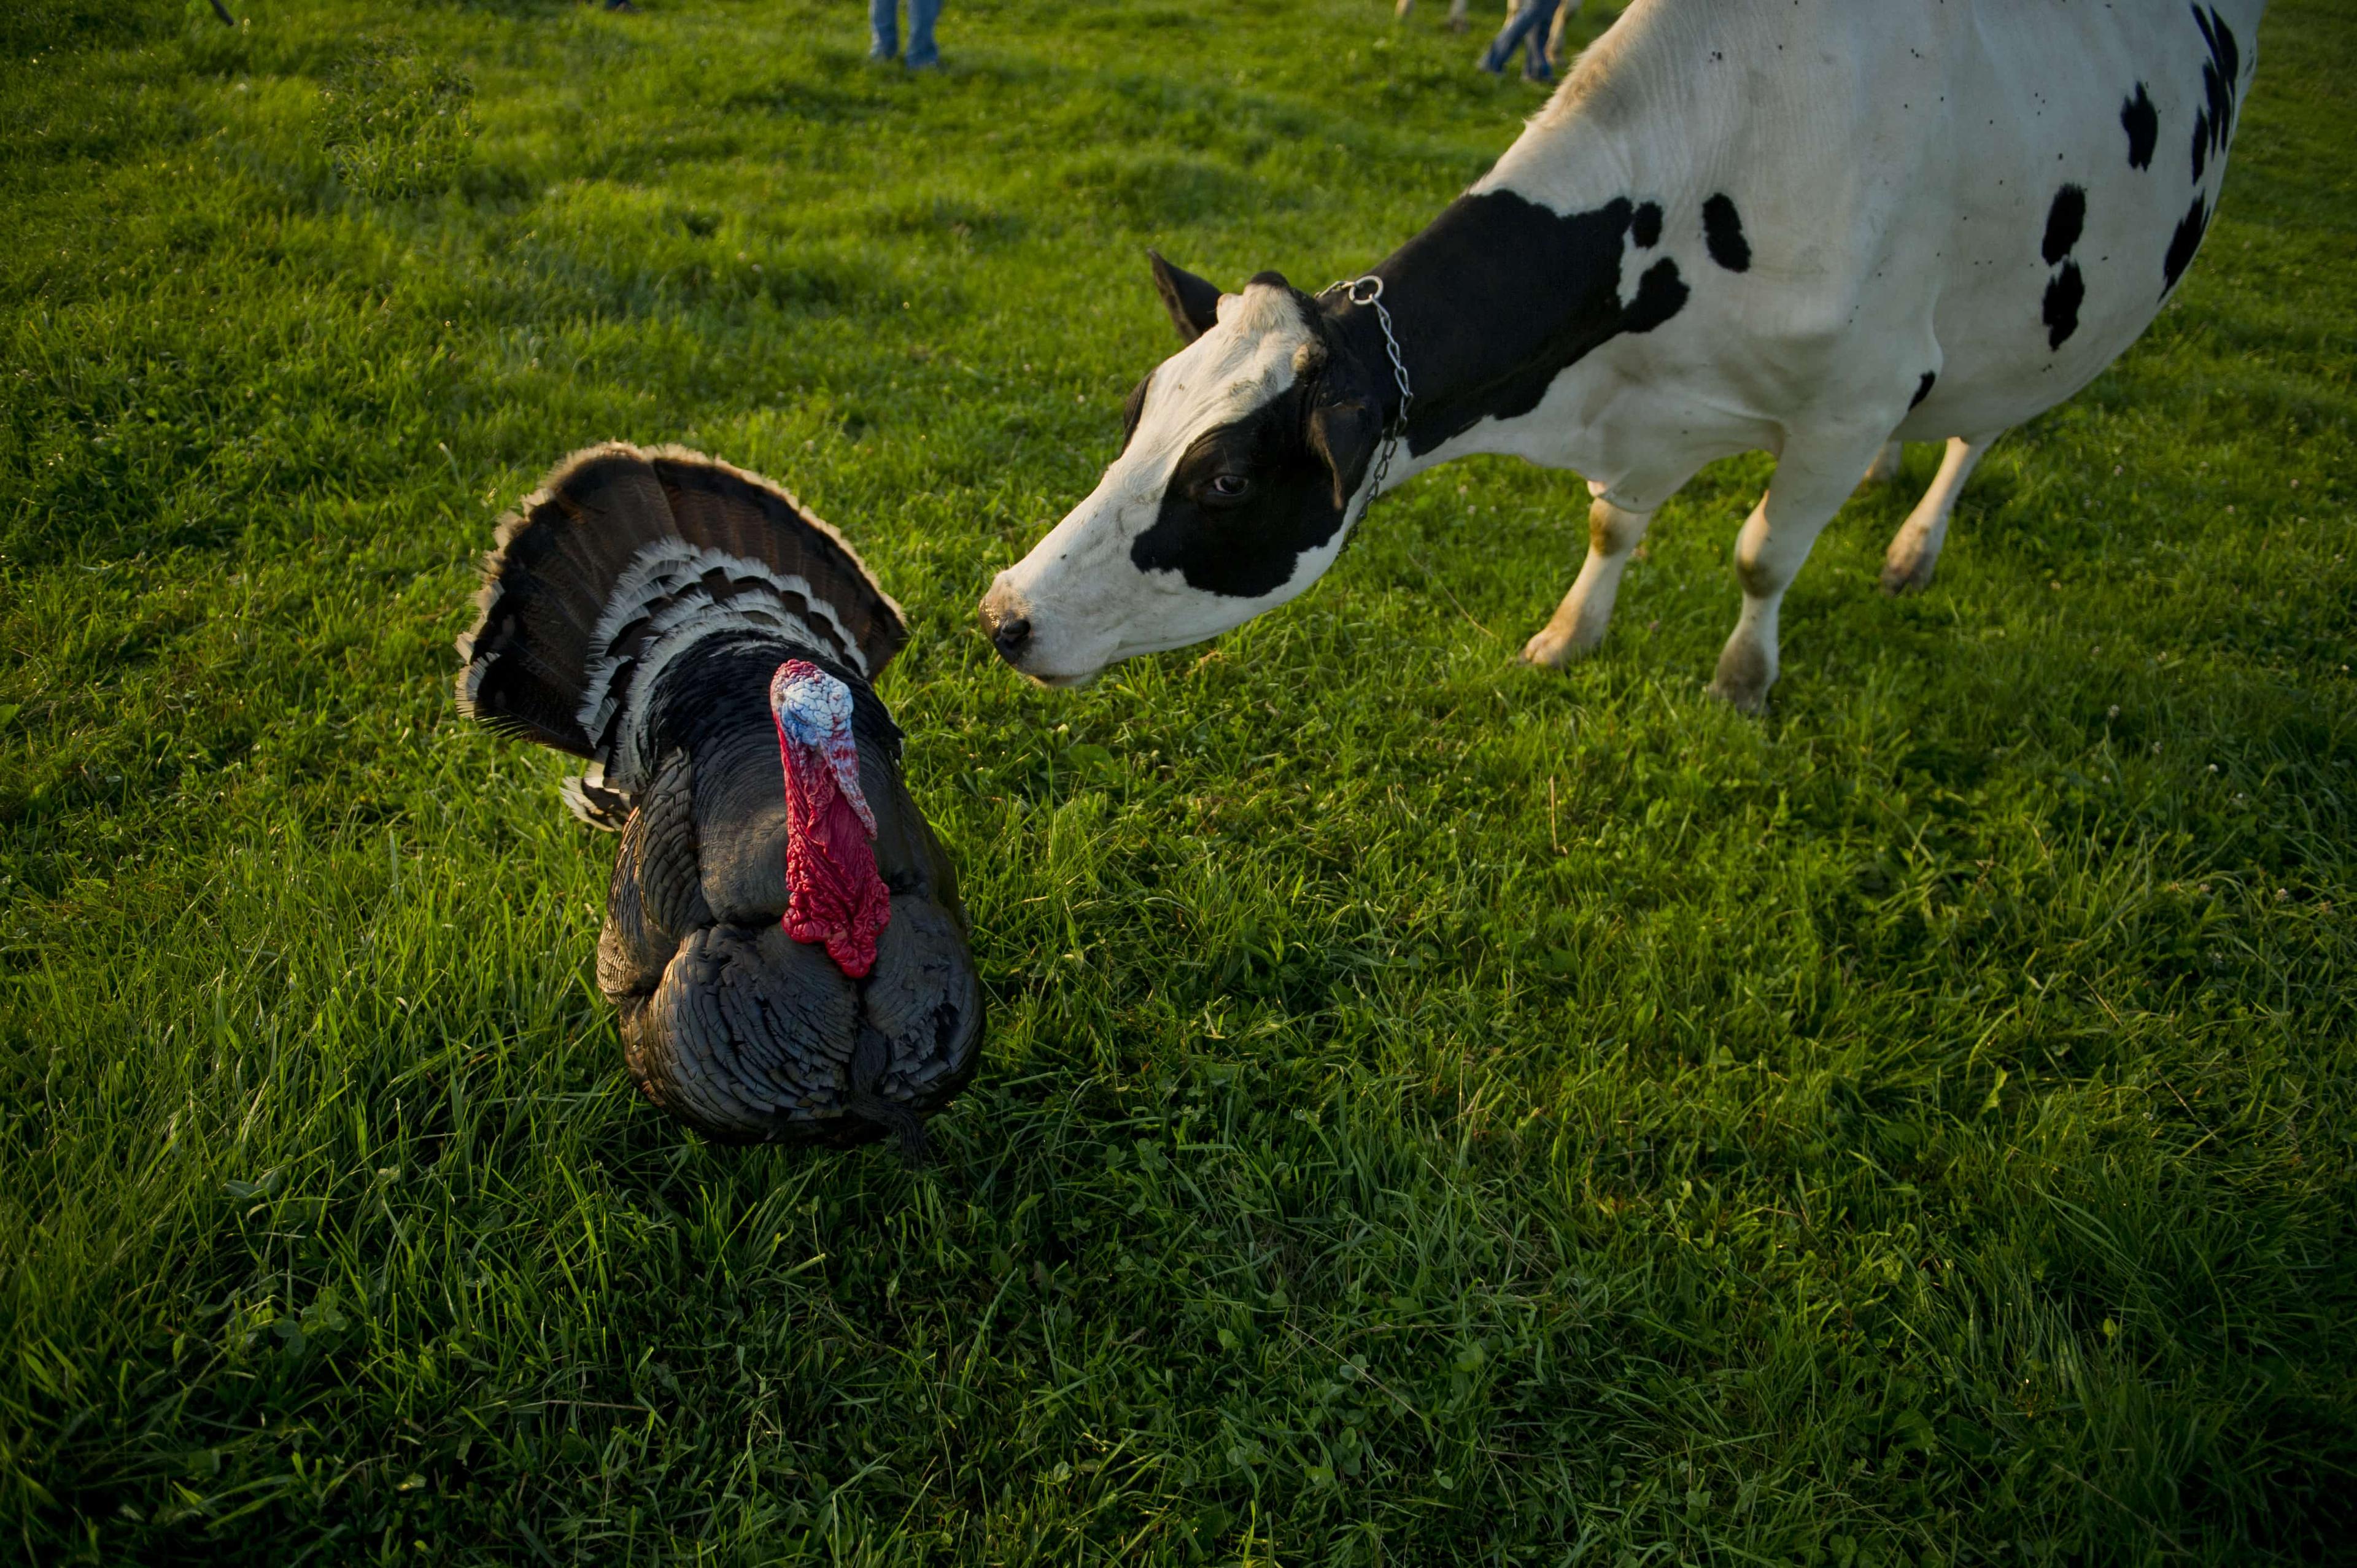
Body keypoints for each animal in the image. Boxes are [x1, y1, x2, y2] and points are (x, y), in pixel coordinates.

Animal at [980, 0, 2262, 707]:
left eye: (1230, 480)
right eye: (1138, 414)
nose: (1002, 614)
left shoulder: (1849, 399)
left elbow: (1761, 554)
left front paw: (1743, 685)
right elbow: (1613, 526)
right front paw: (1566, 639)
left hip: (2054, 310)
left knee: (1983, 427)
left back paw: (1912, 544)